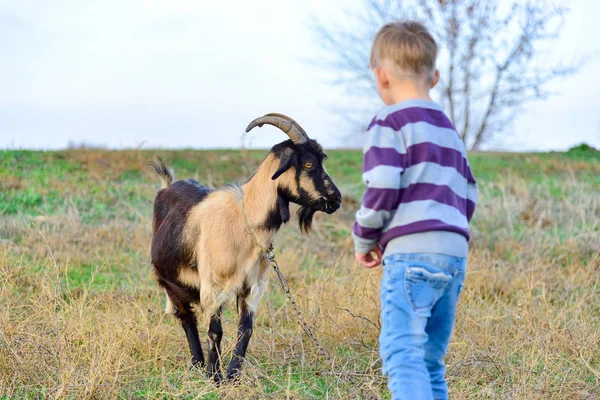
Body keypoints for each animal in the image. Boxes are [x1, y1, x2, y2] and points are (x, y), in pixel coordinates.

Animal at [146, 113, 342, 384]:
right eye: (309, 164)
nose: (336, 200)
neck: (245, 219)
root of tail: (167, 185)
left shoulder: (253, 286)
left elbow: (245, 331)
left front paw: (233, 376)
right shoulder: (213, 285)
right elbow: (215, 331)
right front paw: (214, 377)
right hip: (169, 280)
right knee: (187, 318)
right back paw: (197, 363)